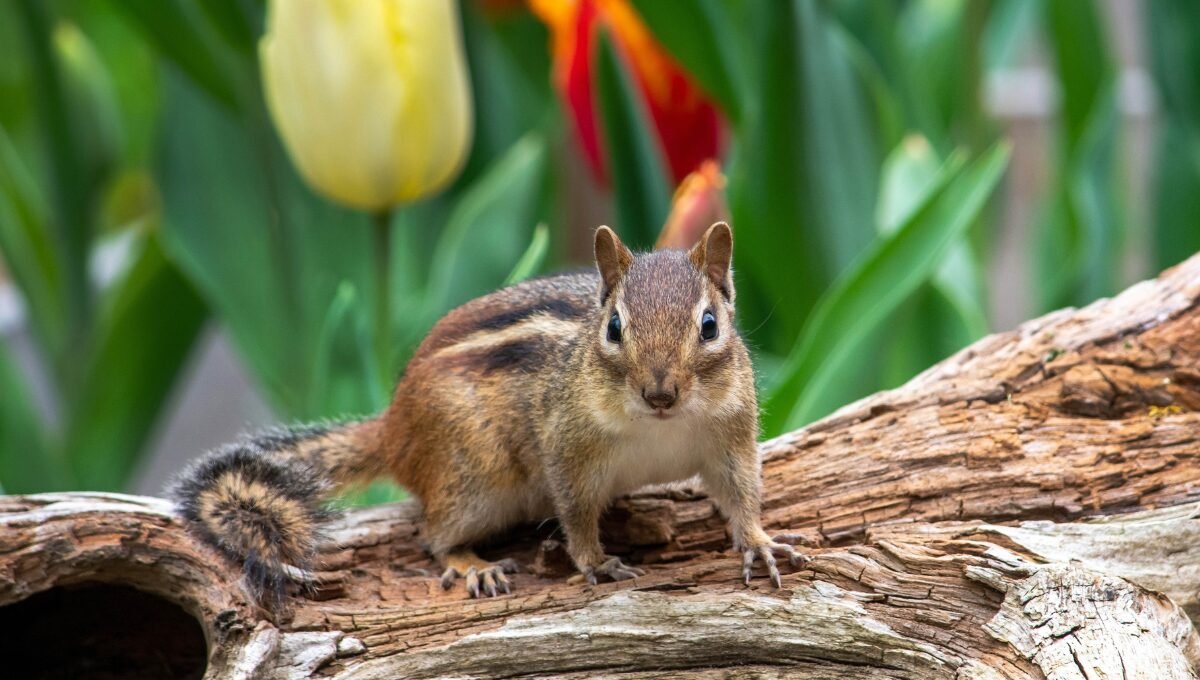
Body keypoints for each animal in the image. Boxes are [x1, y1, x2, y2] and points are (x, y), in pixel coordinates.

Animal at [172, 222, 805, 603]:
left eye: (709, 325)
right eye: (614, 328)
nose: (660, 394)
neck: (660, 429)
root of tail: (394, 427)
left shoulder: (729, 442)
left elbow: (742, 495)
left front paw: (759, 542)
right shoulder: (568, 450)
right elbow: (576, 514)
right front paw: (595, 561)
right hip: (474, 478)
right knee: (433, 534)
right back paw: (473, 563)